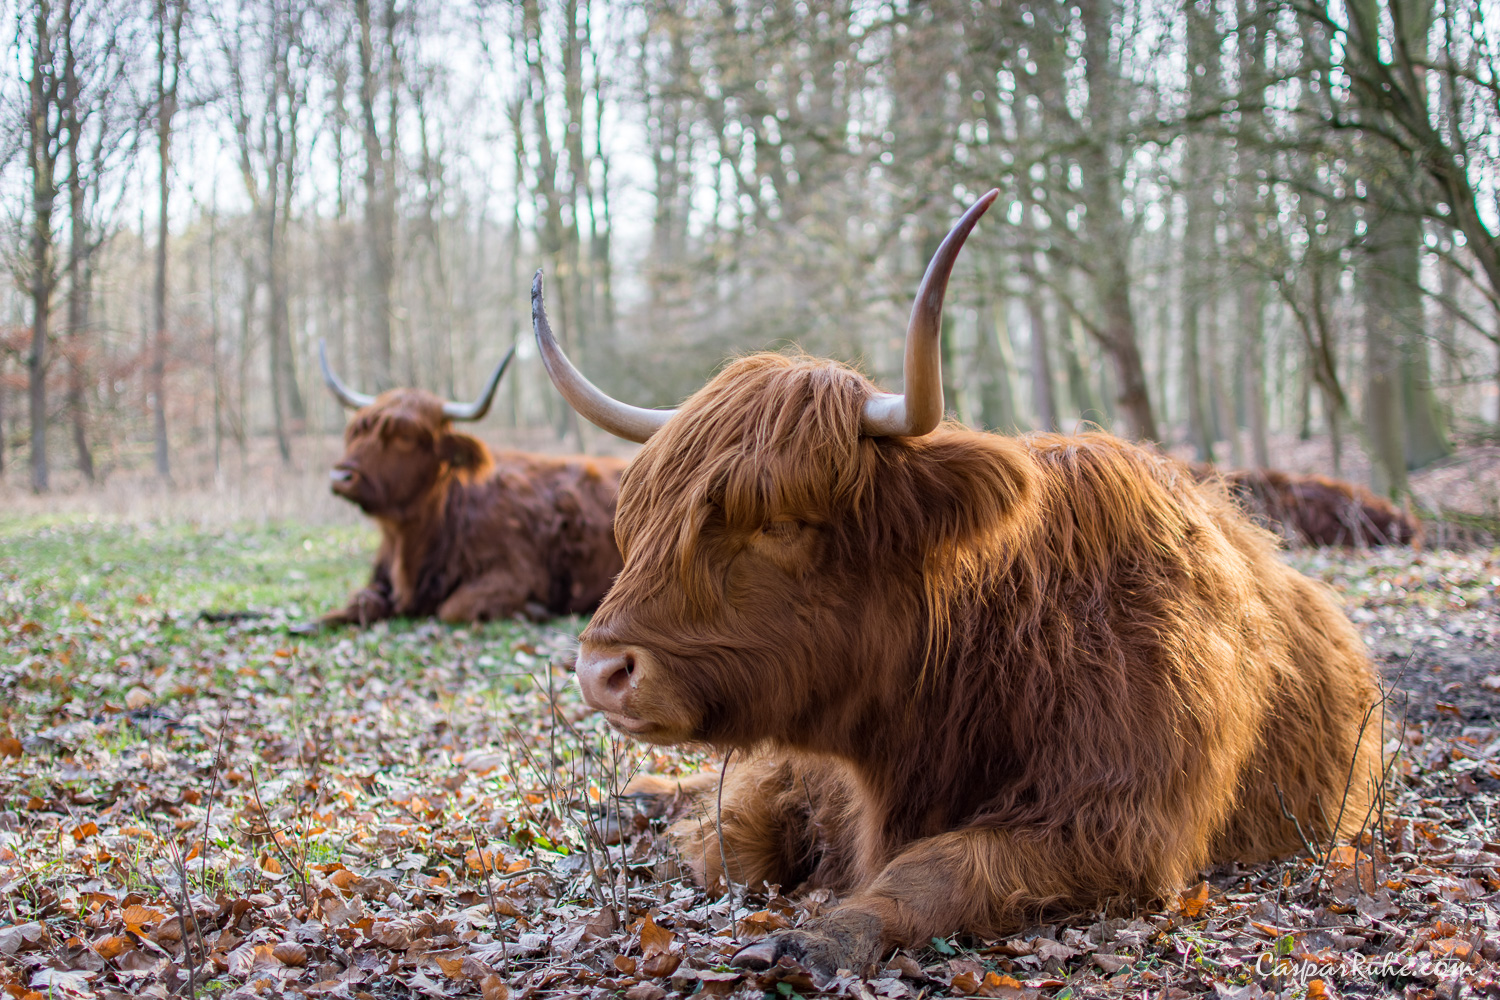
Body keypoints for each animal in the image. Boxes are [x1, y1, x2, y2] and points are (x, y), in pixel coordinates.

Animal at [317, 343, 626, 625]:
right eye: (358, 430)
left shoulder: (514, 572)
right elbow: (360, 600)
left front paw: (534, 610)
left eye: (406, 436)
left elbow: (452, 608)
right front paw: (314, 622)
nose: (341, 477)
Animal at [529, 191, 1383, 979]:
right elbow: (728, 840)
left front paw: (820, 936)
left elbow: (939, 867)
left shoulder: (1117, 825)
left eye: (782, 521)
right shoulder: (805, 768)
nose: (600, 672)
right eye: (641, 514)